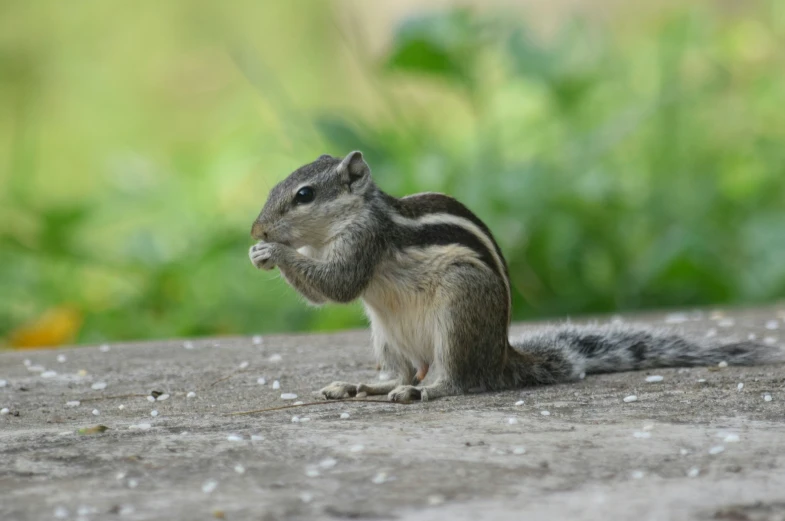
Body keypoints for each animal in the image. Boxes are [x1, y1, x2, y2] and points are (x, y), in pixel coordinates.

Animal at [248, 150, 780, 402]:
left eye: (304, 195)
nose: (256, 228)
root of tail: (502, 355)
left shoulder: (365, 240)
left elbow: (338, 286)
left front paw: (272, 250)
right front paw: (260, 249)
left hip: (459, 309)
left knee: (459, 381)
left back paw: (425, 390)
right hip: (385, 335)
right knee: (400, 371)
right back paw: (363, 386)